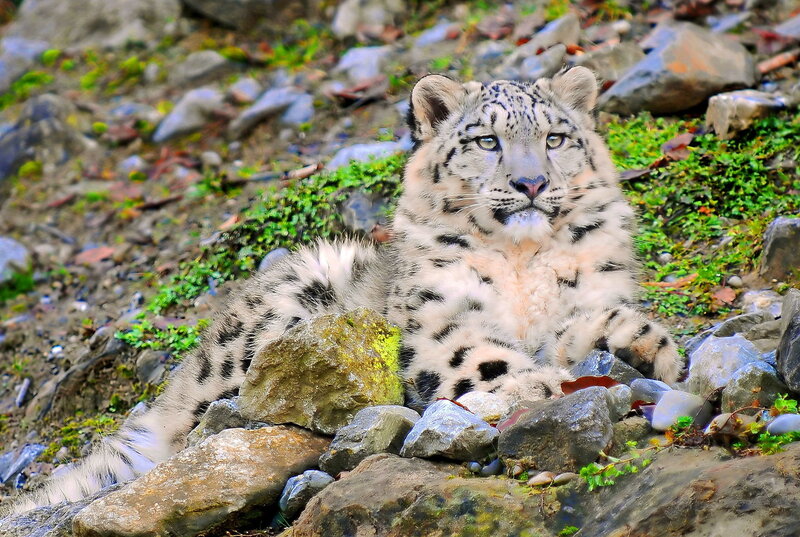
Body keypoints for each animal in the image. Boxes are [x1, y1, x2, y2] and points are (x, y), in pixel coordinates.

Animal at [8, 66, 683, 513]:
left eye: (555, 138)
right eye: (486, 141)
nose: (531, 183)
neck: (523, 262)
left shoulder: (581, 300)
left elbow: (590, 326)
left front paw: (651, 350)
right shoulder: (436, 328)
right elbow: (481, 355)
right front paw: (538, 384)